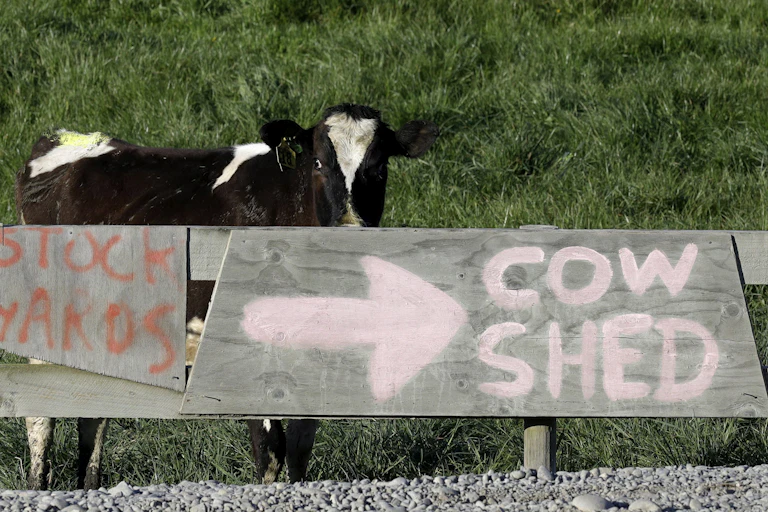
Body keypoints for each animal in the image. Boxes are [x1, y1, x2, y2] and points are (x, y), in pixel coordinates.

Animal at [15, 103, 439, 490]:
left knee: (93, 411)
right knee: (40, 415)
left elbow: (300, 445)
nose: (349, 230)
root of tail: (62, 139)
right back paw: (37, 486)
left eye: (379, 168)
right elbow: (270, 448)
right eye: (318, 162)